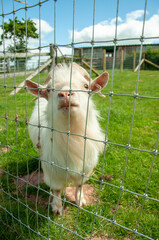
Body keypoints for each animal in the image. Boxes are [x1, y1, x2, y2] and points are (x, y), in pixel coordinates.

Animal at [26, 62, 108, 215]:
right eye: (49, 90)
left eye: (86, 86)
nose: (65, 94)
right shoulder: (52, 170)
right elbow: (57, 189)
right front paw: (56, 208)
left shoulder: (86, 168)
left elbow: (80, 185)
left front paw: (80, 201)